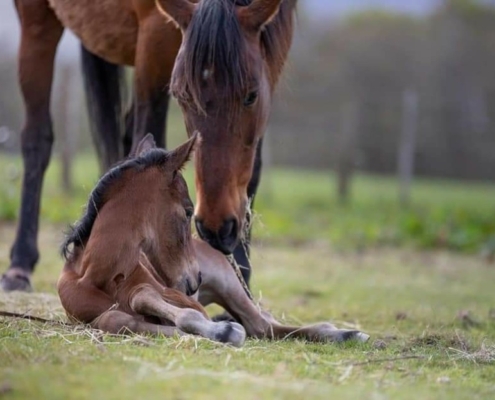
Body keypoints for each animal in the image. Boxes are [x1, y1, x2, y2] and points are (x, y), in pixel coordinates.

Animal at [2, 0, 298, 292]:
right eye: (182, 95)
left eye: (252, 95)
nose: (216, 227)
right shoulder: (154, 39)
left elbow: (252, 171)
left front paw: (240, 275)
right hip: (37, 22)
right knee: (37, 138)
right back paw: (20, 266)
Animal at [57, 134, 368, 346]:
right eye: (187, 210)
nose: (195, 279)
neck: (99, 275)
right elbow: (116, 318)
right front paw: (218, 331)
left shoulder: (182, 299)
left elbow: (151, 298)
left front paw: (222, 330)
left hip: (228, 284)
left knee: (263, 325)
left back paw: (349, 333)